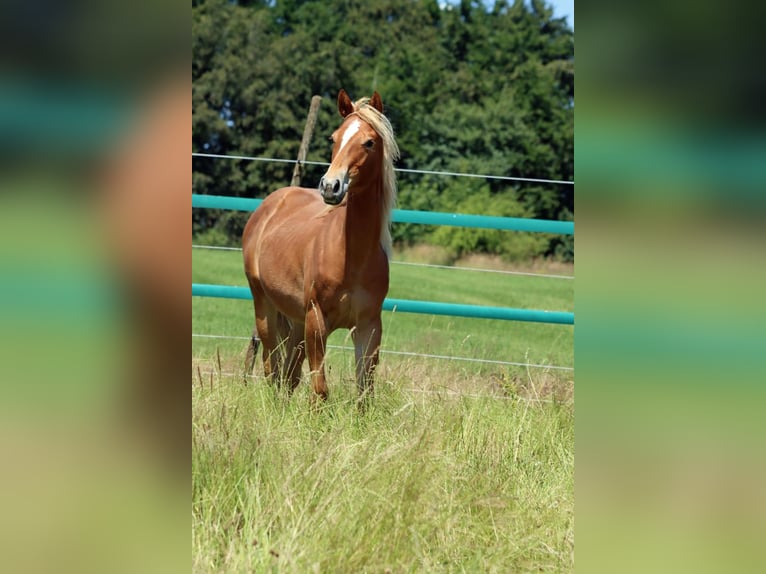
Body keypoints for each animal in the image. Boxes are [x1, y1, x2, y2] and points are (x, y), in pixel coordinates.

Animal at [242, 89, 399, 404]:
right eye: (333, 137)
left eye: (369, 142)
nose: (330, 186)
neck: (351, 256)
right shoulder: (317, 320)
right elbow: (320, 390)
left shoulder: (368, 325)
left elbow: (364, 392)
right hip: (265, 308)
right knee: (271, 367)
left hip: (295, 320)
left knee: (288, 375)